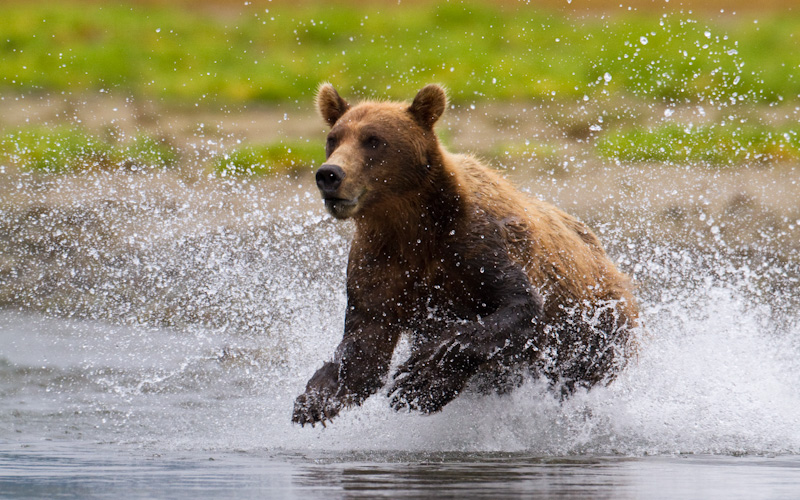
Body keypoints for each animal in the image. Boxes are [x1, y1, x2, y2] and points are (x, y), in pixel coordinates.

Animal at [290, 84, 640, 428]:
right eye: (333, 138)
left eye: (374, 140)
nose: (329, 174)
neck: (413, 224)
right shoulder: (380, 262)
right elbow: (365, 343)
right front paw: (316, 398)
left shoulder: (478, 244)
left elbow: (518, 307)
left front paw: (420, 380)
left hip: (598, 325)